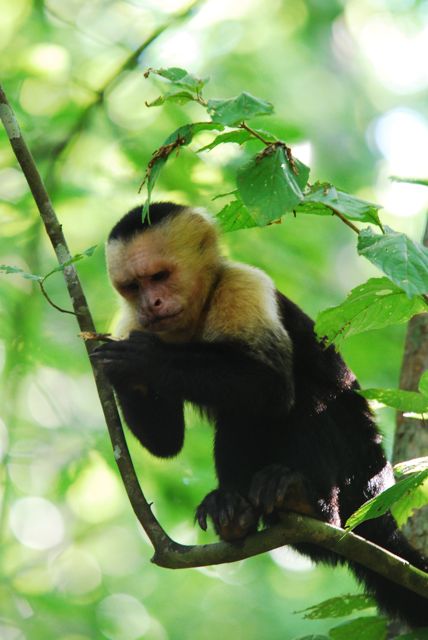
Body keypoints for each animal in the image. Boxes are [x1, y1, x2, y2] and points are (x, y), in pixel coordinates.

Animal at [92, 202, 428, 627]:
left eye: (159, 276)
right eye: (133, 287)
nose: (151, 303)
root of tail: (379, 488)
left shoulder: (242, 285)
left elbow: (271, 386)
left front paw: (146, 360)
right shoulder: (130, 322)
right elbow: (165, 441)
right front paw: (125, 372)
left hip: (357, 473)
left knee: (300, 398)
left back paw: (309, 501)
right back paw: (234, 511)